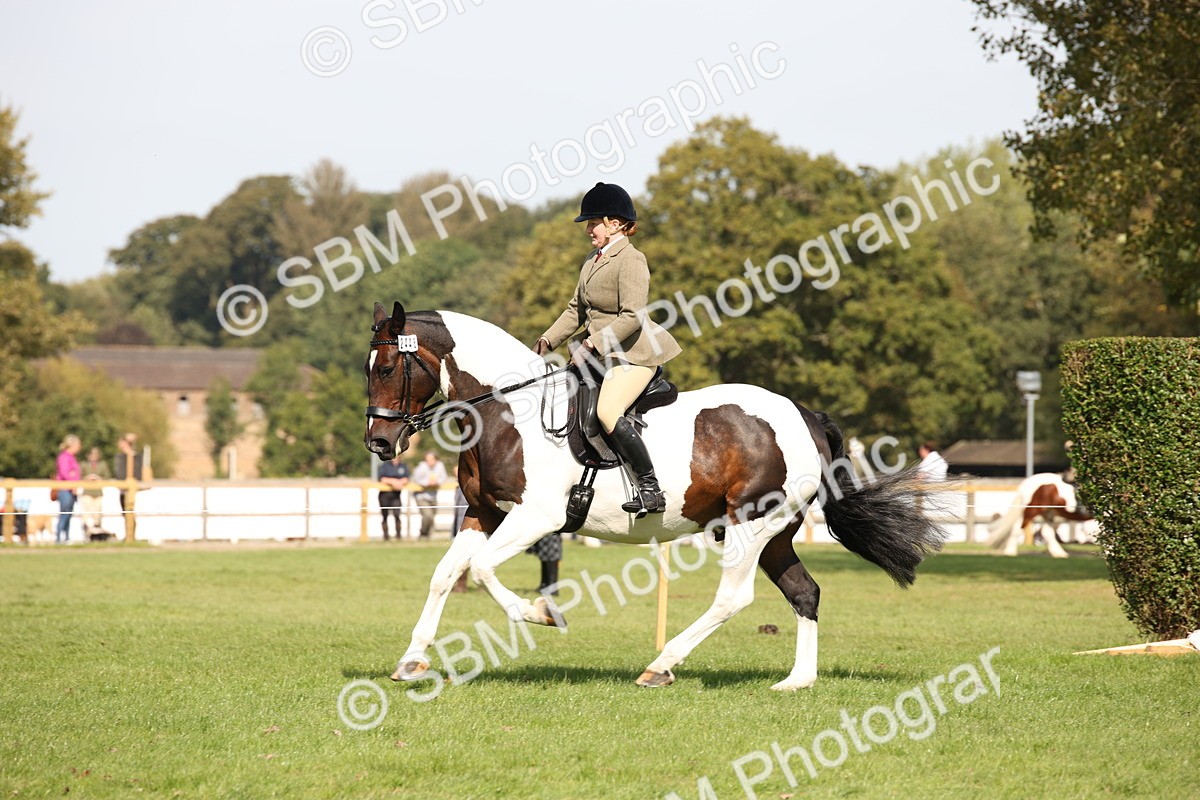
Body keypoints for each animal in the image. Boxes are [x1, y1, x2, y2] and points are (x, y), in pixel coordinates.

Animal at [363, 302, 947, 690]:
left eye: (388, 368)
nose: (379, 443)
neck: (508, 412)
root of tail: (804, 416)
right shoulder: (483, 513)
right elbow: (445, 575)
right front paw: (412, 660)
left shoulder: (536, 517)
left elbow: (482, 570)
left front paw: (543, 615)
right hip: (775, 530)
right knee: (805, 592)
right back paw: (796, 681)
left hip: (749, 523)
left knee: (733, 598)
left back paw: (660, 666)